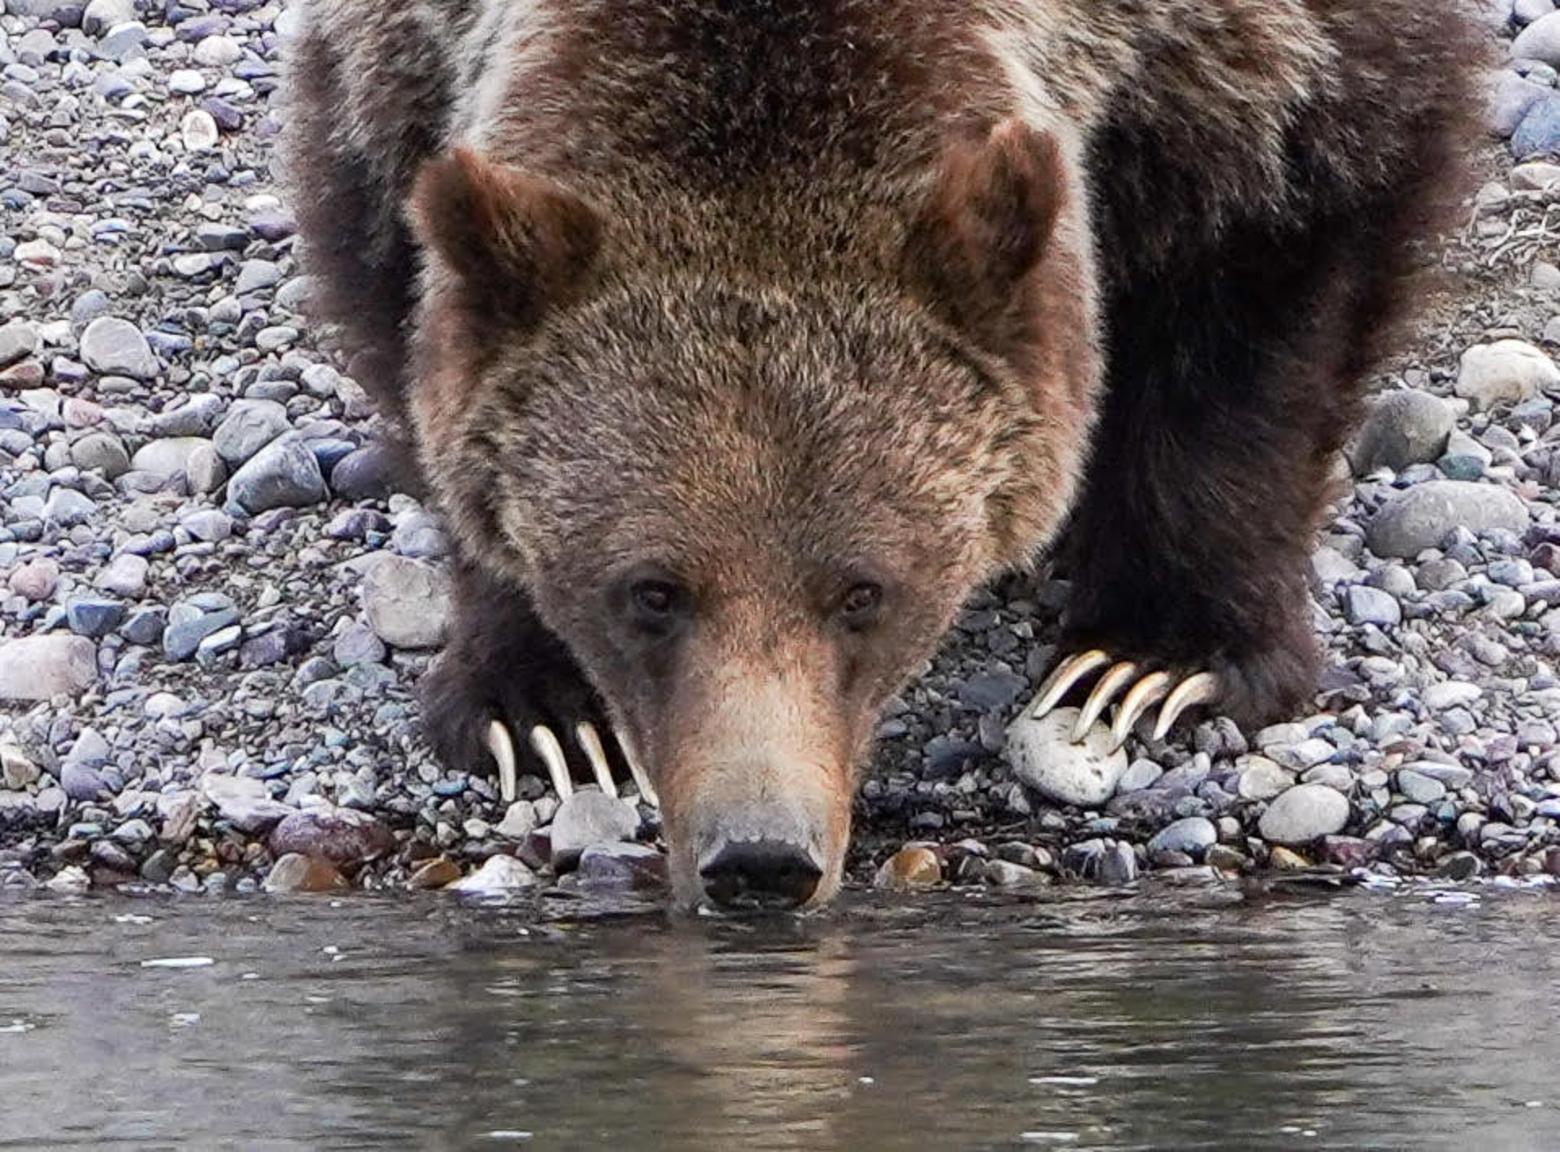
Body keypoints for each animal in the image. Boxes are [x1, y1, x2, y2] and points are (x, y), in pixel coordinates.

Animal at [283, 0, 1485, 905]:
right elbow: (398, 277)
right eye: (651, 592)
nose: (760, 856)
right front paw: (539, 706)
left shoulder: (1251, 66)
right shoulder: (408, 65)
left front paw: (1147, 661)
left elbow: (1272, 261)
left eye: (863, 591)